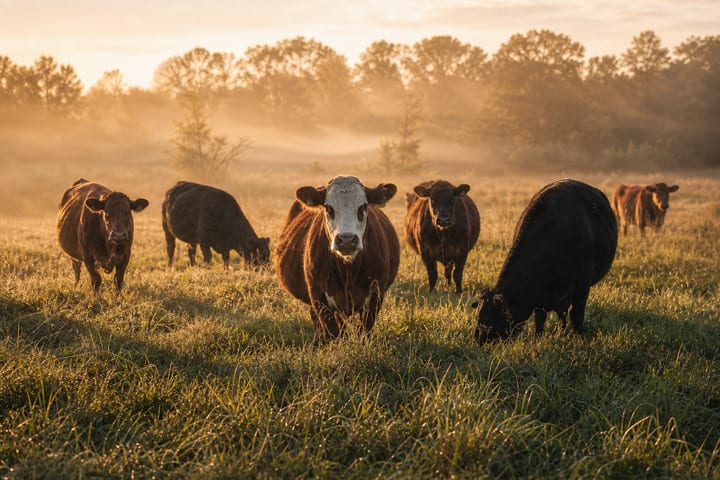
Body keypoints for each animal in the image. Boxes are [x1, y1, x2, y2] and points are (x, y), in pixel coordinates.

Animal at [275, 175, 400, 343]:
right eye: (329, 208)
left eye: (363, 207)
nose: (347, 240)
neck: (347, 270)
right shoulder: (318, 296)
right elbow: (333, 331)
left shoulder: (375, 294)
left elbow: (364, 331)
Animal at [473, 179, 617, 345]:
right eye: (477, 316)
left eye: (488, 321)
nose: (478, 340)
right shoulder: (540, 296)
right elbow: (540, 318)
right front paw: (537, 338)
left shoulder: (582, 285)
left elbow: (576, 314)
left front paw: (580, 337)